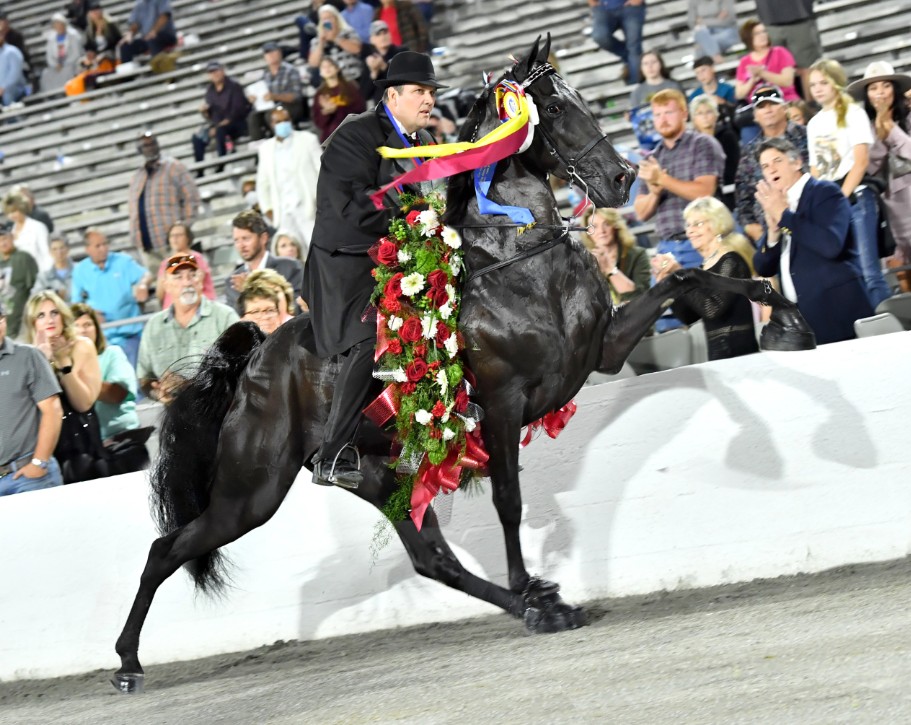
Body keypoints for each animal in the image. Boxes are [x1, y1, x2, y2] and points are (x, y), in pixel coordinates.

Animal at [112, 35, 814, 693]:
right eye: (557, 108)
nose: (622, 179)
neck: (520, 259)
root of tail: (255, 358)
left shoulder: (603, 349)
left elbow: (685, 277)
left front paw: (780, 311)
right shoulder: (503, 403)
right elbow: (508, 500)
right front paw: (528, 579)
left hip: (378, 475)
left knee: (432, 560)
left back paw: (537, 608)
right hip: (253, 489)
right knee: (165, 548)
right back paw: (126, 663)